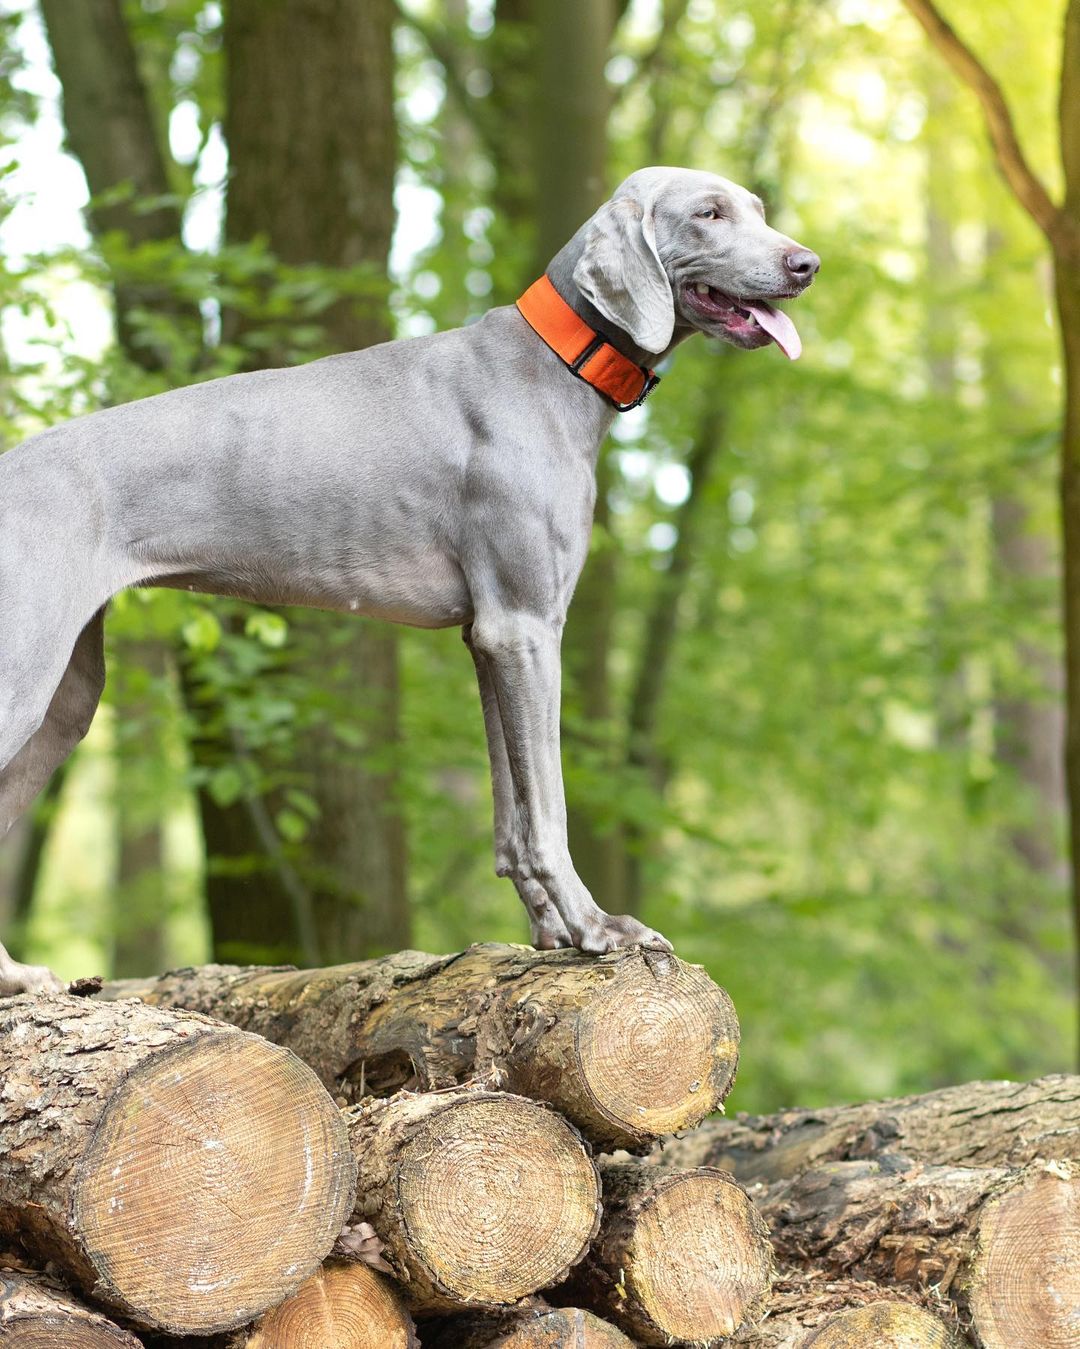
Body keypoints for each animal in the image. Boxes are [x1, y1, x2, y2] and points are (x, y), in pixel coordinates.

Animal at [0, 165, 819, 992]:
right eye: (709, 214)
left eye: (757, 209)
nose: (806, 264)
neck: (556, 364)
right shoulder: (525, 628)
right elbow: (548, 809)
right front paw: (596, 927)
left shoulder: (488, 638)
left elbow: (512, 817)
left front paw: (549, 931)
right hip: (24, 676)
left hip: (68, 698)